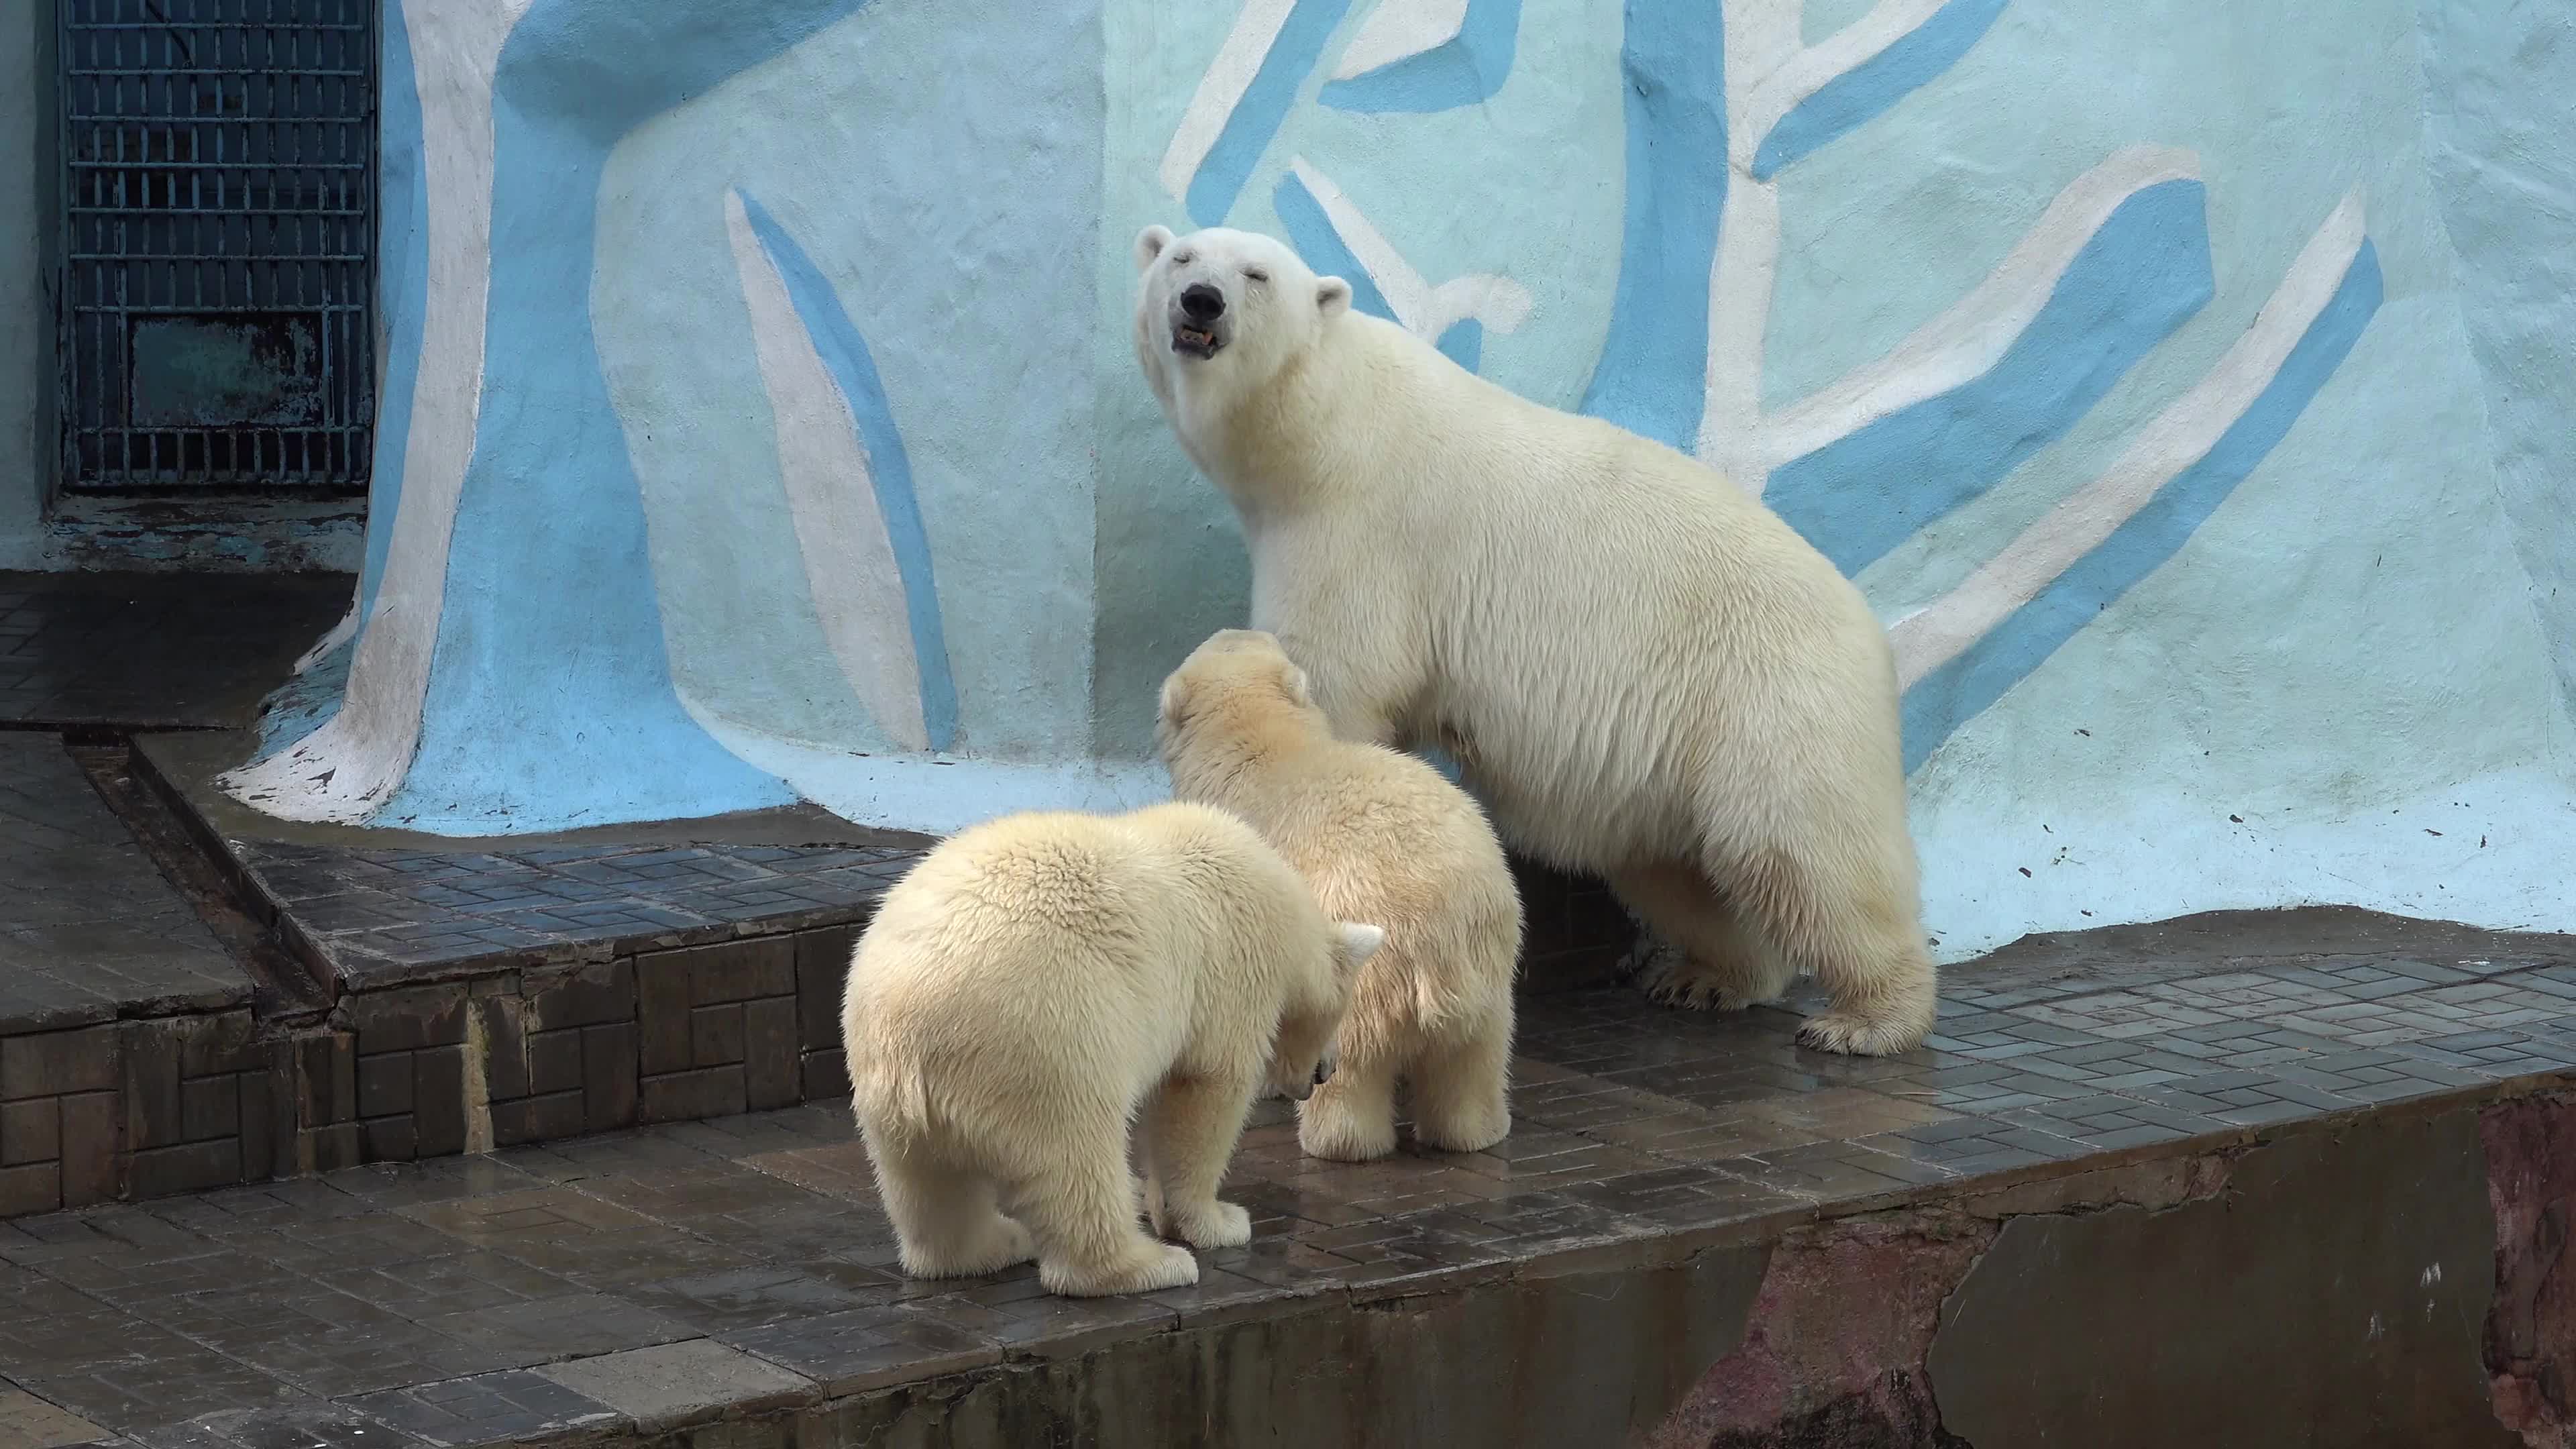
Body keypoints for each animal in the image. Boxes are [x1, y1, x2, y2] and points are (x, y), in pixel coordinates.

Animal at [1128, 223, 1937, 1046]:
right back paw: (1709, 978)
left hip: (1773, 696)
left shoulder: (1358, 529)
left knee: (1802, 848)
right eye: (1182, 258)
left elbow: (1341, 681)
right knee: (1677, 868)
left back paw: (1868, 1018)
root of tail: (1871, 635)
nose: (1201, 301)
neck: (1323, 422)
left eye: (1256, 275)